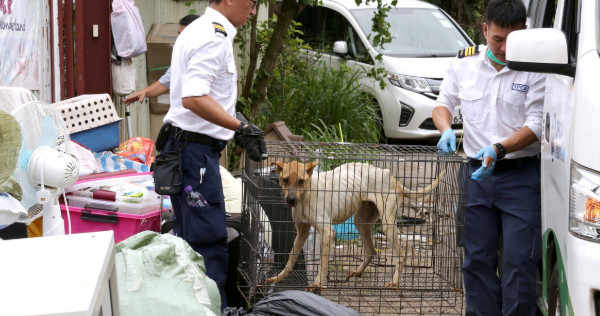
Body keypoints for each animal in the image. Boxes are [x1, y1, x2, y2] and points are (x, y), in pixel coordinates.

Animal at [268, 162, 446, 292]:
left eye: (300, 181)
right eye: (285, 180)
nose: (291, 200)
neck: (308, 192)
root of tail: (391, 176)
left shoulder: (327, 233)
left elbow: (323, 264)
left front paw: (318, 284)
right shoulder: (301, 232)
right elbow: (290, 259)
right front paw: (279, 278)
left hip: (388, 225)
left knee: (400, 255)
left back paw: (395, 283)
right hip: (361, 222)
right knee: (371, 251)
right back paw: (358, 271)